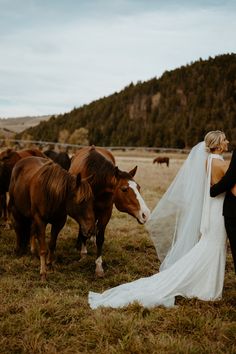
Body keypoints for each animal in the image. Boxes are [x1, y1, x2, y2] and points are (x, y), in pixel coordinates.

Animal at [69, 146, 149, 276]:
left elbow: (100, 238)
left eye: (139, 187)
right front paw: (83, 254)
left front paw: (98, 266)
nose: (146, 214)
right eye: (124, 189)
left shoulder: (106, 212)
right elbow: (83, 230)